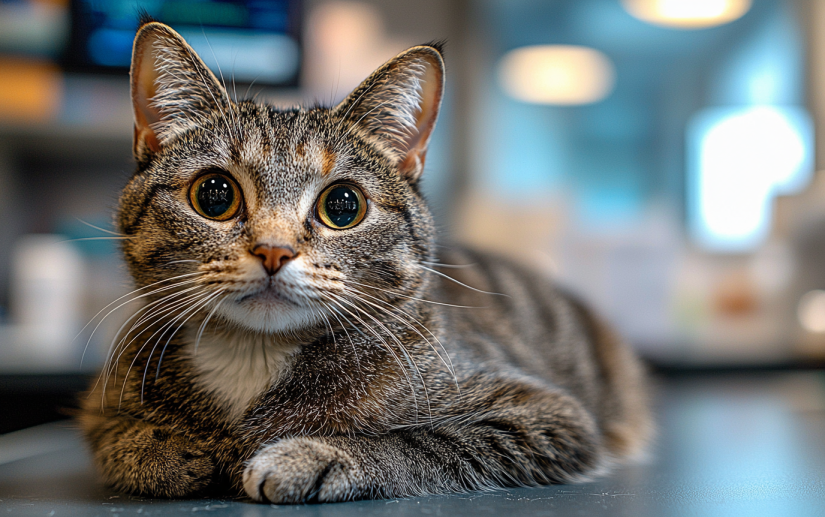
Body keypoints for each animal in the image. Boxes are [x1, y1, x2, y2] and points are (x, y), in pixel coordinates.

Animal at [79, 21, 652, 504]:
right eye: (214, 195)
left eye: (343, 205)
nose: (273, 249)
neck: (253, 357)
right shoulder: (98, 404)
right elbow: (116, 437)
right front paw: (165, 447)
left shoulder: (545, 415)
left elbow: (420, 442)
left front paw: (314, 455)